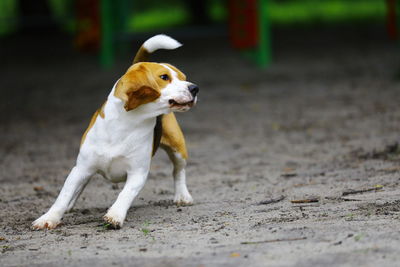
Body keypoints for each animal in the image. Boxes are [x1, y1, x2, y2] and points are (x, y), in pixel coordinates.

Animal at [32, 34, 198, 230]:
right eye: (164, 77)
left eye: (183, 77)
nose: (194, 88)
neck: (127, 123)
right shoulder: (81, 168)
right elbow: (63, 196)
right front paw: (49, 218)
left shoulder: (137, 173)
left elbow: (125, 194)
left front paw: (115, 216)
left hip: (178, 149)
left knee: (178, 171)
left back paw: (182, 195)